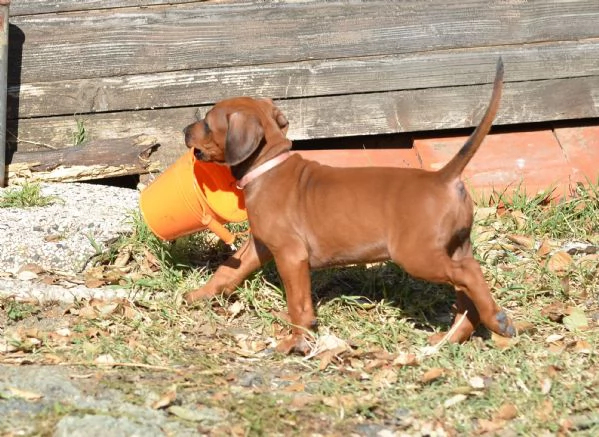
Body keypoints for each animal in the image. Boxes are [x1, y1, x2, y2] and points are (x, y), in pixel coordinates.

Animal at [184, 60, 516, 354]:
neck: (268, 166)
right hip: (456, 246)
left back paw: (497, 321)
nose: (186, 130)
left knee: (469, 273)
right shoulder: (261, 245)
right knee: (466, 294)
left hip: (416, 254)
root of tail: (442, 177)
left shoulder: (290, 255)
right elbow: (228, 270)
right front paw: (200, 294)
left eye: (207, 124)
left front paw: (297, 340)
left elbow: (298, 303)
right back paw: (454, 336)